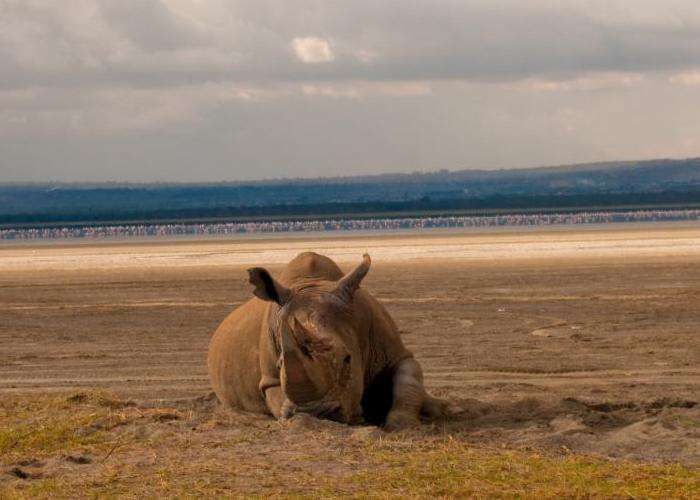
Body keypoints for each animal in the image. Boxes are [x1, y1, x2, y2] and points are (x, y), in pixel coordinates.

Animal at [208, 251, 447, 429]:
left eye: (347, 359)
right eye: (280, 364)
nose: (315, 414)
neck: (314, 284)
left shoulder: (394, 352)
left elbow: (407, 379)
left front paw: (402, 424)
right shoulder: (270, 378)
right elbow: (276, 394)